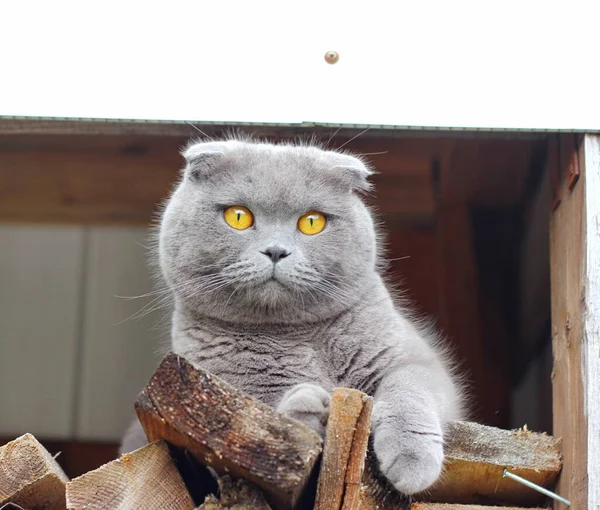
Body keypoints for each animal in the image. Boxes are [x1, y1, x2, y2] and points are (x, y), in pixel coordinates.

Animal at [118, 137, 464, 496]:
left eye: (312, 221)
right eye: (238, 216)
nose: (275, 250)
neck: (301, 336)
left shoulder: (412, 359)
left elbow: (408, 390)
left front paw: (412, 461)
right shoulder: (231, 392)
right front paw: (306, 406)